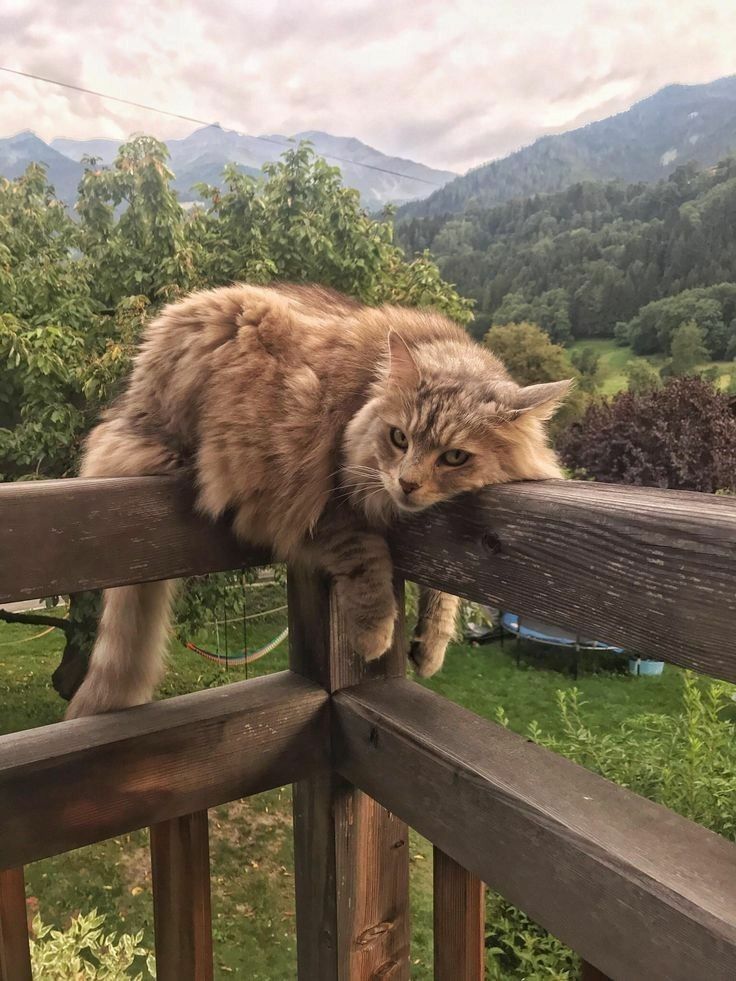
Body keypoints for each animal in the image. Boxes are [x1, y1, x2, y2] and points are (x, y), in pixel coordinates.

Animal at [66, 284, 572, 720]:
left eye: (454, 457)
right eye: (399, 439)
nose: (407, 484)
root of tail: (128, 406)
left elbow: (445, 591)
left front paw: (430, 646)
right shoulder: (319, 503)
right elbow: (369, 559)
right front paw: (374, 636)